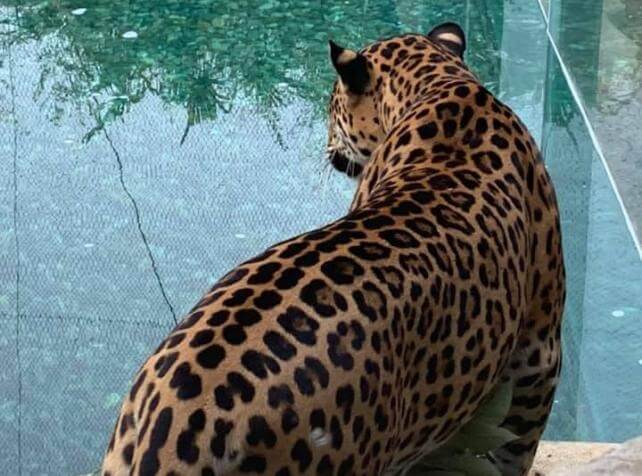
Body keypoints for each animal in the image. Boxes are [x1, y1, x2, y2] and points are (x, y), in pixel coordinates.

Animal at [101, 22, 565, 476]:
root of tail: (184, 425)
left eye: (331, 104)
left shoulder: (539, 355)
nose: (328, 147)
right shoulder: (539, 350)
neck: (441, 83)